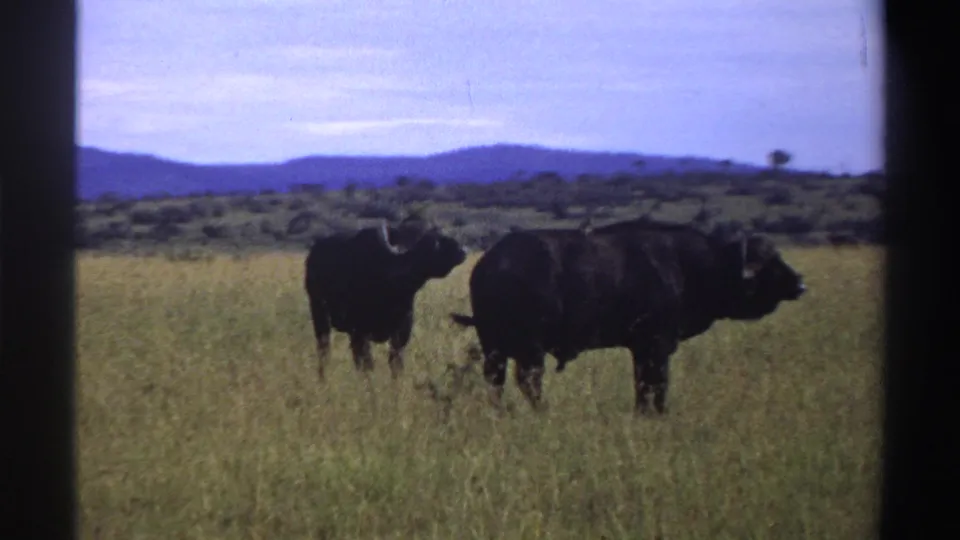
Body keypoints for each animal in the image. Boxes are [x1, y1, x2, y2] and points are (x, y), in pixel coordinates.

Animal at [305, 216, 467, 380]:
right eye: (434, 243)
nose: (462, 250)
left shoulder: (402, 332)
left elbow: (396, 363)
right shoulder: (360, 333)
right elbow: (367, 365)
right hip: (320, 316)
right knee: (324, 350)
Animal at [449, 218, 806, 414]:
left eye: (778, 257)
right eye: (768, 263)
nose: (800, 283)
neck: (691, 267)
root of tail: (490, 264)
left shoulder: (641, 349)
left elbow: (641, 386)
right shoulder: (656, 346)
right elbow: (657, 385)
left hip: (495, 347)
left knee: (497, 382)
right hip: (529, 348)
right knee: (529, 381)